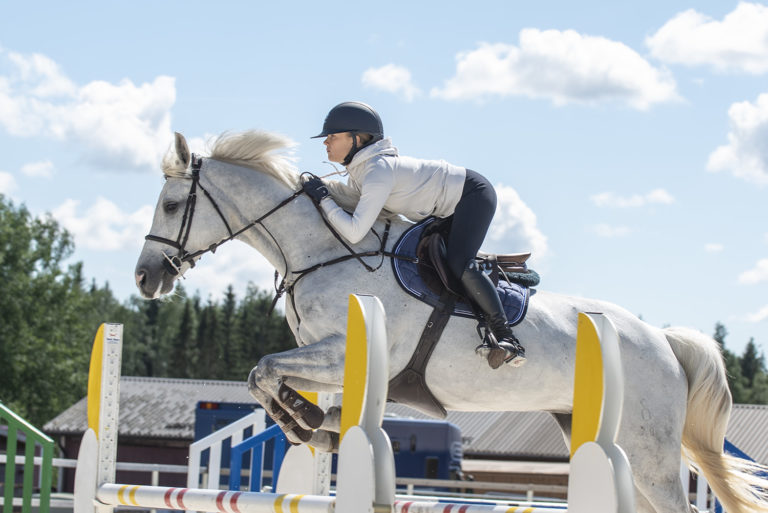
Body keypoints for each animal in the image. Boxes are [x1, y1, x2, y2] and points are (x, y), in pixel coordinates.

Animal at [135, 130, 768, 510]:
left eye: (171, 205)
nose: (145, 278)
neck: (325, 250)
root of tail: (661, 340)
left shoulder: (343, 352)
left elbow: (264, 369)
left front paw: (306, 420)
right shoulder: (326, 358)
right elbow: (263, 378)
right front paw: (313, 422)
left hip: (651, 449)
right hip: (611, 438)